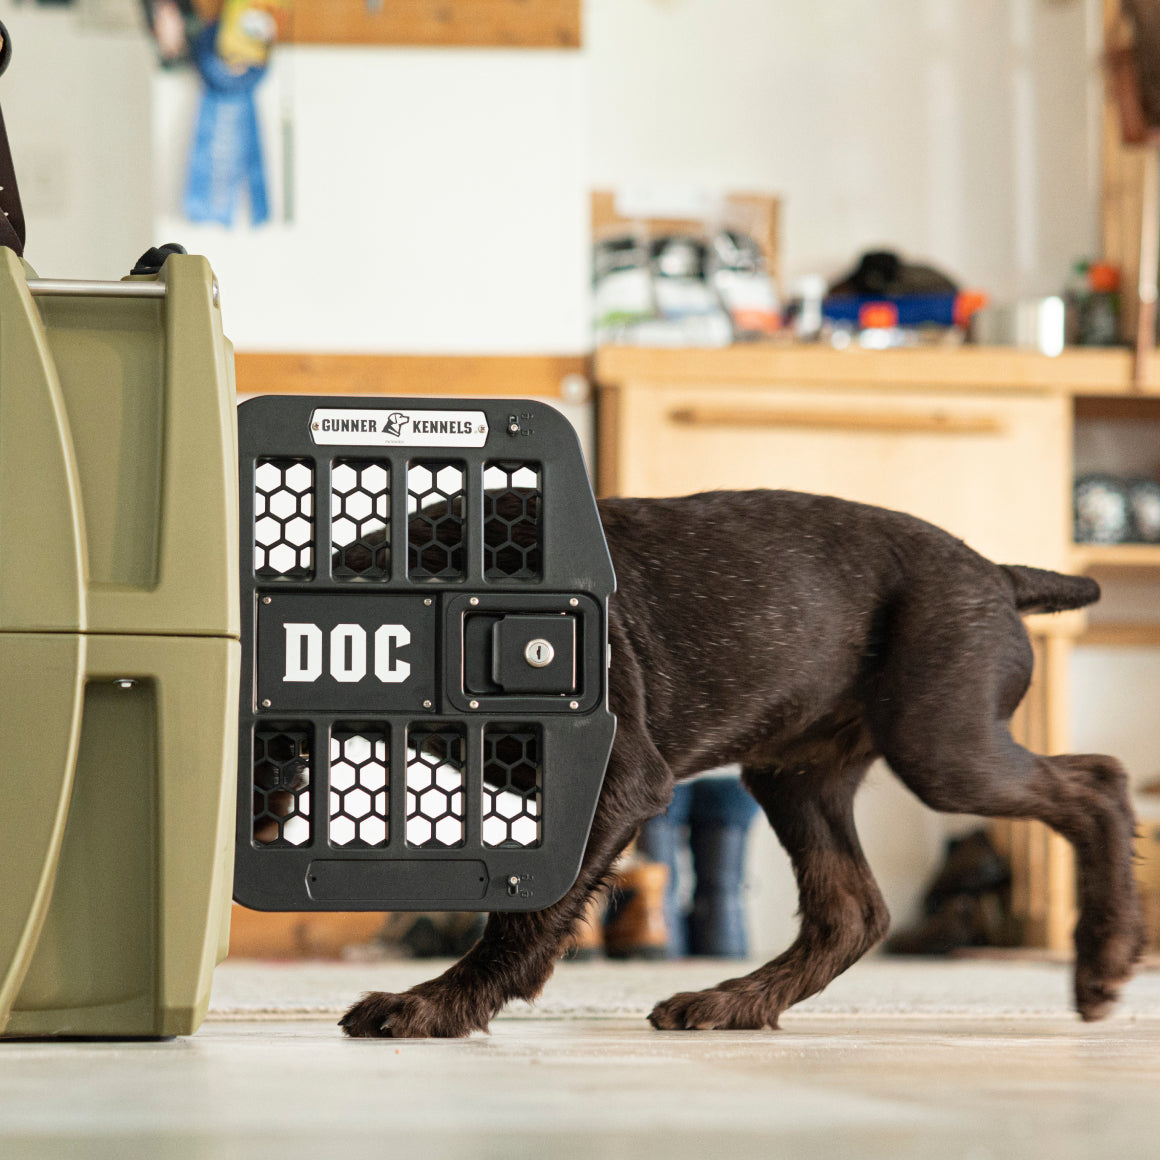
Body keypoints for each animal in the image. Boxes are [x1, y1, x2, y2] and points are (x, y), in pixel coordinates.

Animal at [338, 484, 1141, 1039]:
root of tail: (998, 573)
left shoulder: (619, 783)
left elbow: (528, 914)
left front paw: (438, 1003)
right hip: (798, 777)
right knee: (852, 913)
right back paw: (735, 1002)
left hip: (941, 746)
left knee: (1098, 784)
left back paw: (1106, 955)